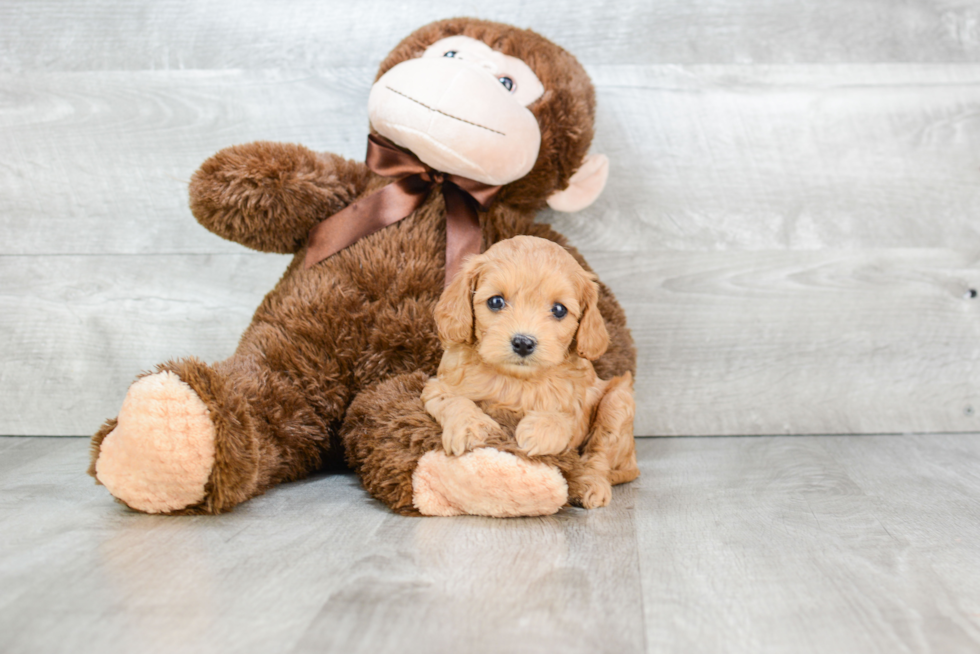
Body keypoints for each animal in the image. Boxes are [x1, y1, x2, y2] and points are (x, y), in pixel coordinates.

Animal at [420, 233, 636, 510]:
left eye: (559, 309)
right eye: (496, 301)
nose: (523, 342)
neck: (515, 380)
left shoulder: (578, 404)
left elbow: (565, 418)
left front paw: (541, 430)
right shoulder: (438, 384)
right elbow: (452, 400)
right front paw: (470, 427)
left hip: (619, 400)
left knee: (599, 455)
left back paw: (589, 484)